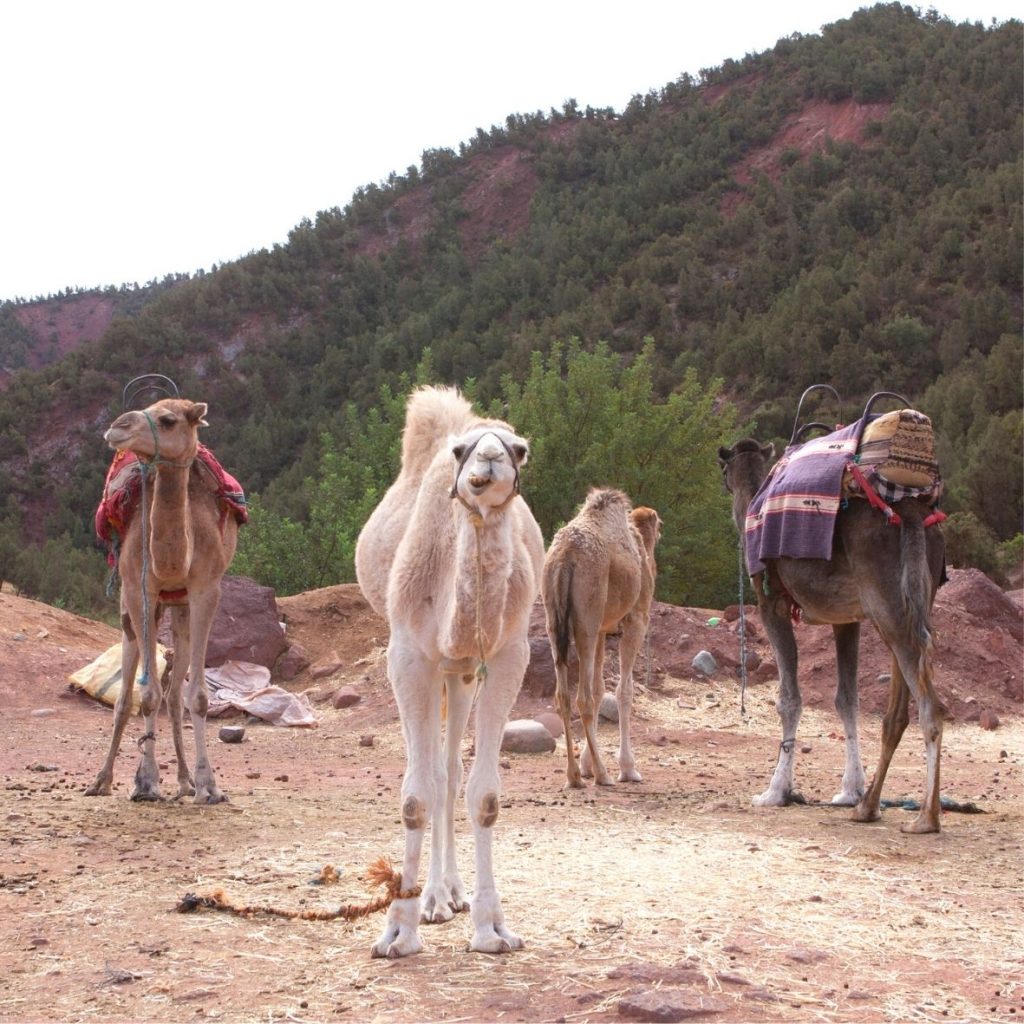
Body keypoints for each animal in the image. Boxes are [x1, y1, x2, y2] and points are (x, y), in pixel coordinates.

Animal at [544, 487, 663, 790]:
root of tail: (565, 556)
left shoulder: (601, 629)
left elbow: (600, 690)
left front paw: (586, 764)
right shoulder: (636, 619)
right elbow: (623, 691)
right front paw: (628, 769)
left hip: (556, 621)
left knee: (564, 696)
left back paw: (575, 776)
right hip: (587, 614)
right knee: (582, 698)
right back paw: (603, 774)